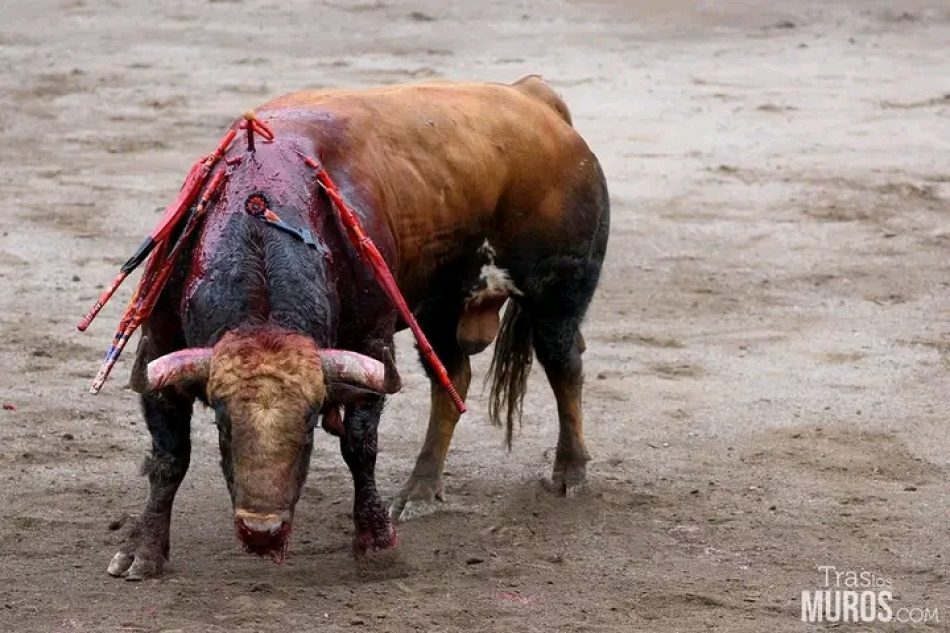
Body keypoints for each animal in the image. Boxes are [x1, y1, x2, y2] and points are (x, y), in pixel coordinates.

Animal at [104, 75, 608, 576]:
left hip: (558, 294)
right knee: (453, 377)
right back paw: (421, 489)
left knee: (564, 366)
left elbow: (360, 447)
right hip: (438, 310)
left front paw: (376, 541)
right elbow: (169, 458)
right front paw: (143, 551)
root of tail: (534, 98)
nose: (262, 532)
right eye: (224, 427)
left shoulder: (371, 345)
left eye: (309, 426)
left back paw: (569, 472)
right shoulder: (159, 348)